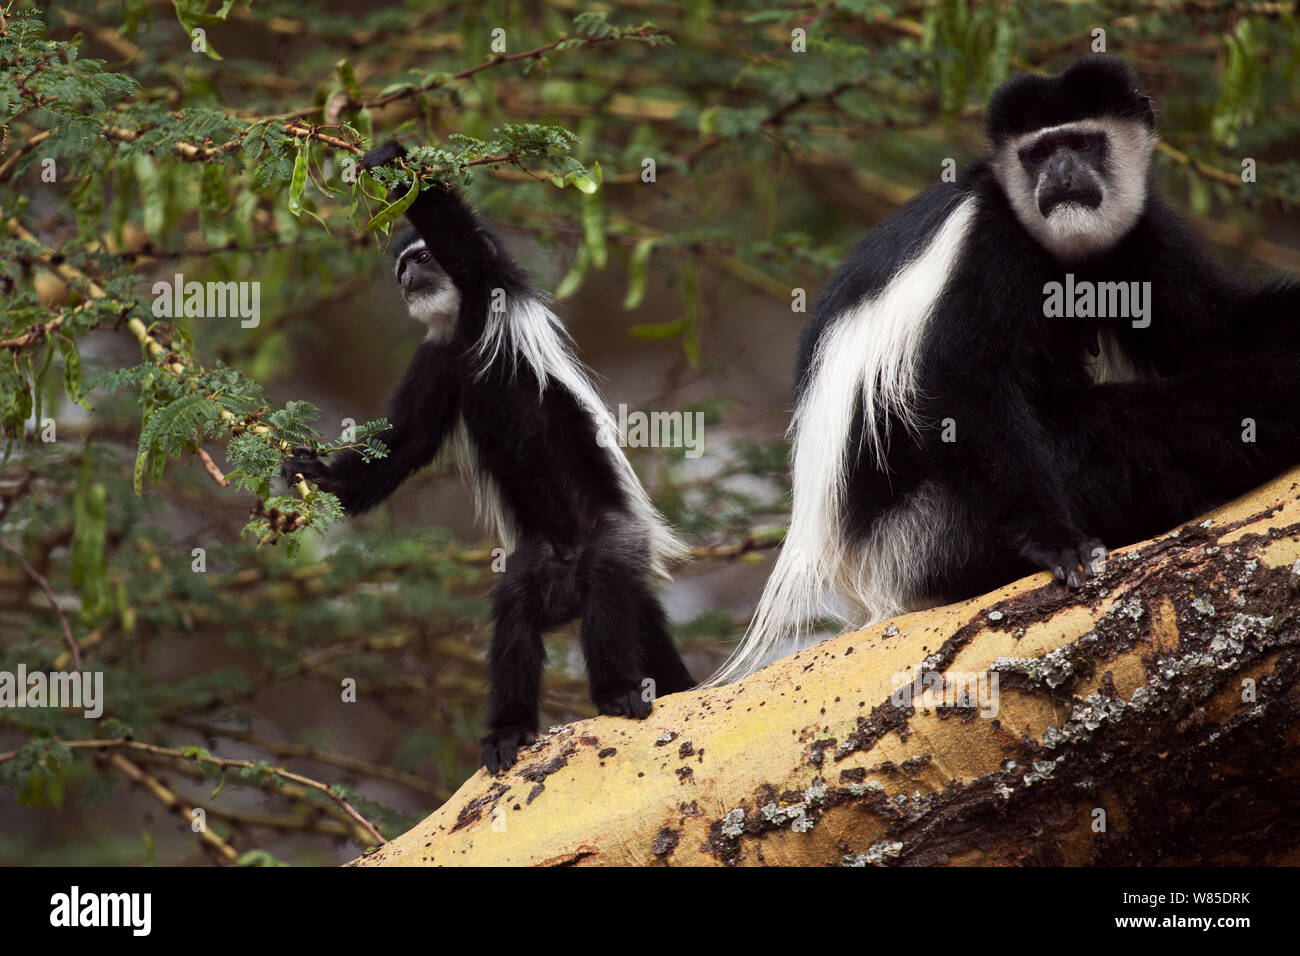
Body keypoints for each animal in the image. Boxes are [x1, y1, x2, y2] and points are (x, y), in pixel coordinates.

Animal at [280, 140, 696, 770]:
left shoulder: (490, 285)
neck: (464, 325)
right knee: (515, 611)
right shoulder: (437, 357)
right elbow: (408, 442)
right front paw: (316, 475)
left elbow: (460, 237)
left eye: (422, 257)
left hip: (619, 537)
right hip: (538, 561)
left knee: (607, 578)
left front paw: (388, 156)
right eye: (402, 266)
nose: (407, 276)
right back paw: (509, 729)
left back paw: (618, 692)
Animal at [707, 57, 1300, 686]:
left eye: (1082, 142)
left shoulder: (1143, 233)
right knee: (1118, 431)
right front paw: (1058, 543)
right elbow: (962, 385)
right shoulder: (987, 243)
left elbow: (1215, 332)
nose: (1061, 174)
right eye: (1038, 153)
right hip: (930, 534)